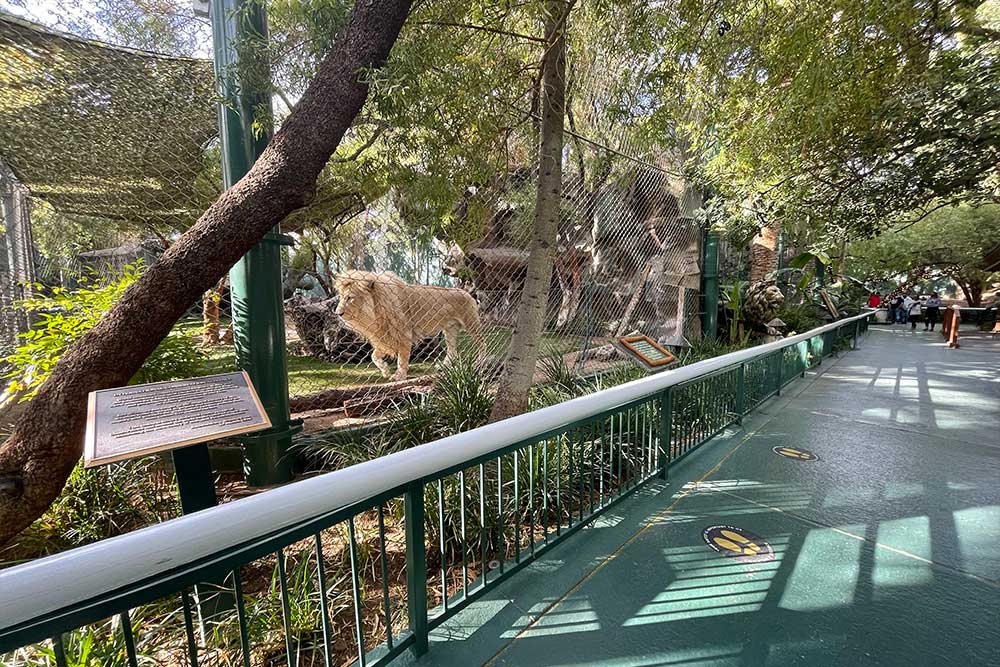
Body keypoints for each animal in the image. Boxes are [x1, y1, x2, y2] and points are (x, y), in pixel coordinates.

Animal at [334, 272, 482, 380]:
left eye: (350, 298)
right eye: (340, 297)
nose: (338, 313)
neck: (375, 312)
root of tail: (465, 292)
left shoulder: (404, 333)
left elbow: (402, 358)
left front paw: (399, 375)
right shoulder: (386, 336)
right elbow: (373, 356)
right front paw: (385, 370)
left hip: (471, 323)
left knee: (482, 343)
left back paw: (481, 361)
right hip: (449, 329)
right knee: (452, 350)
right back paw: (443, 367)